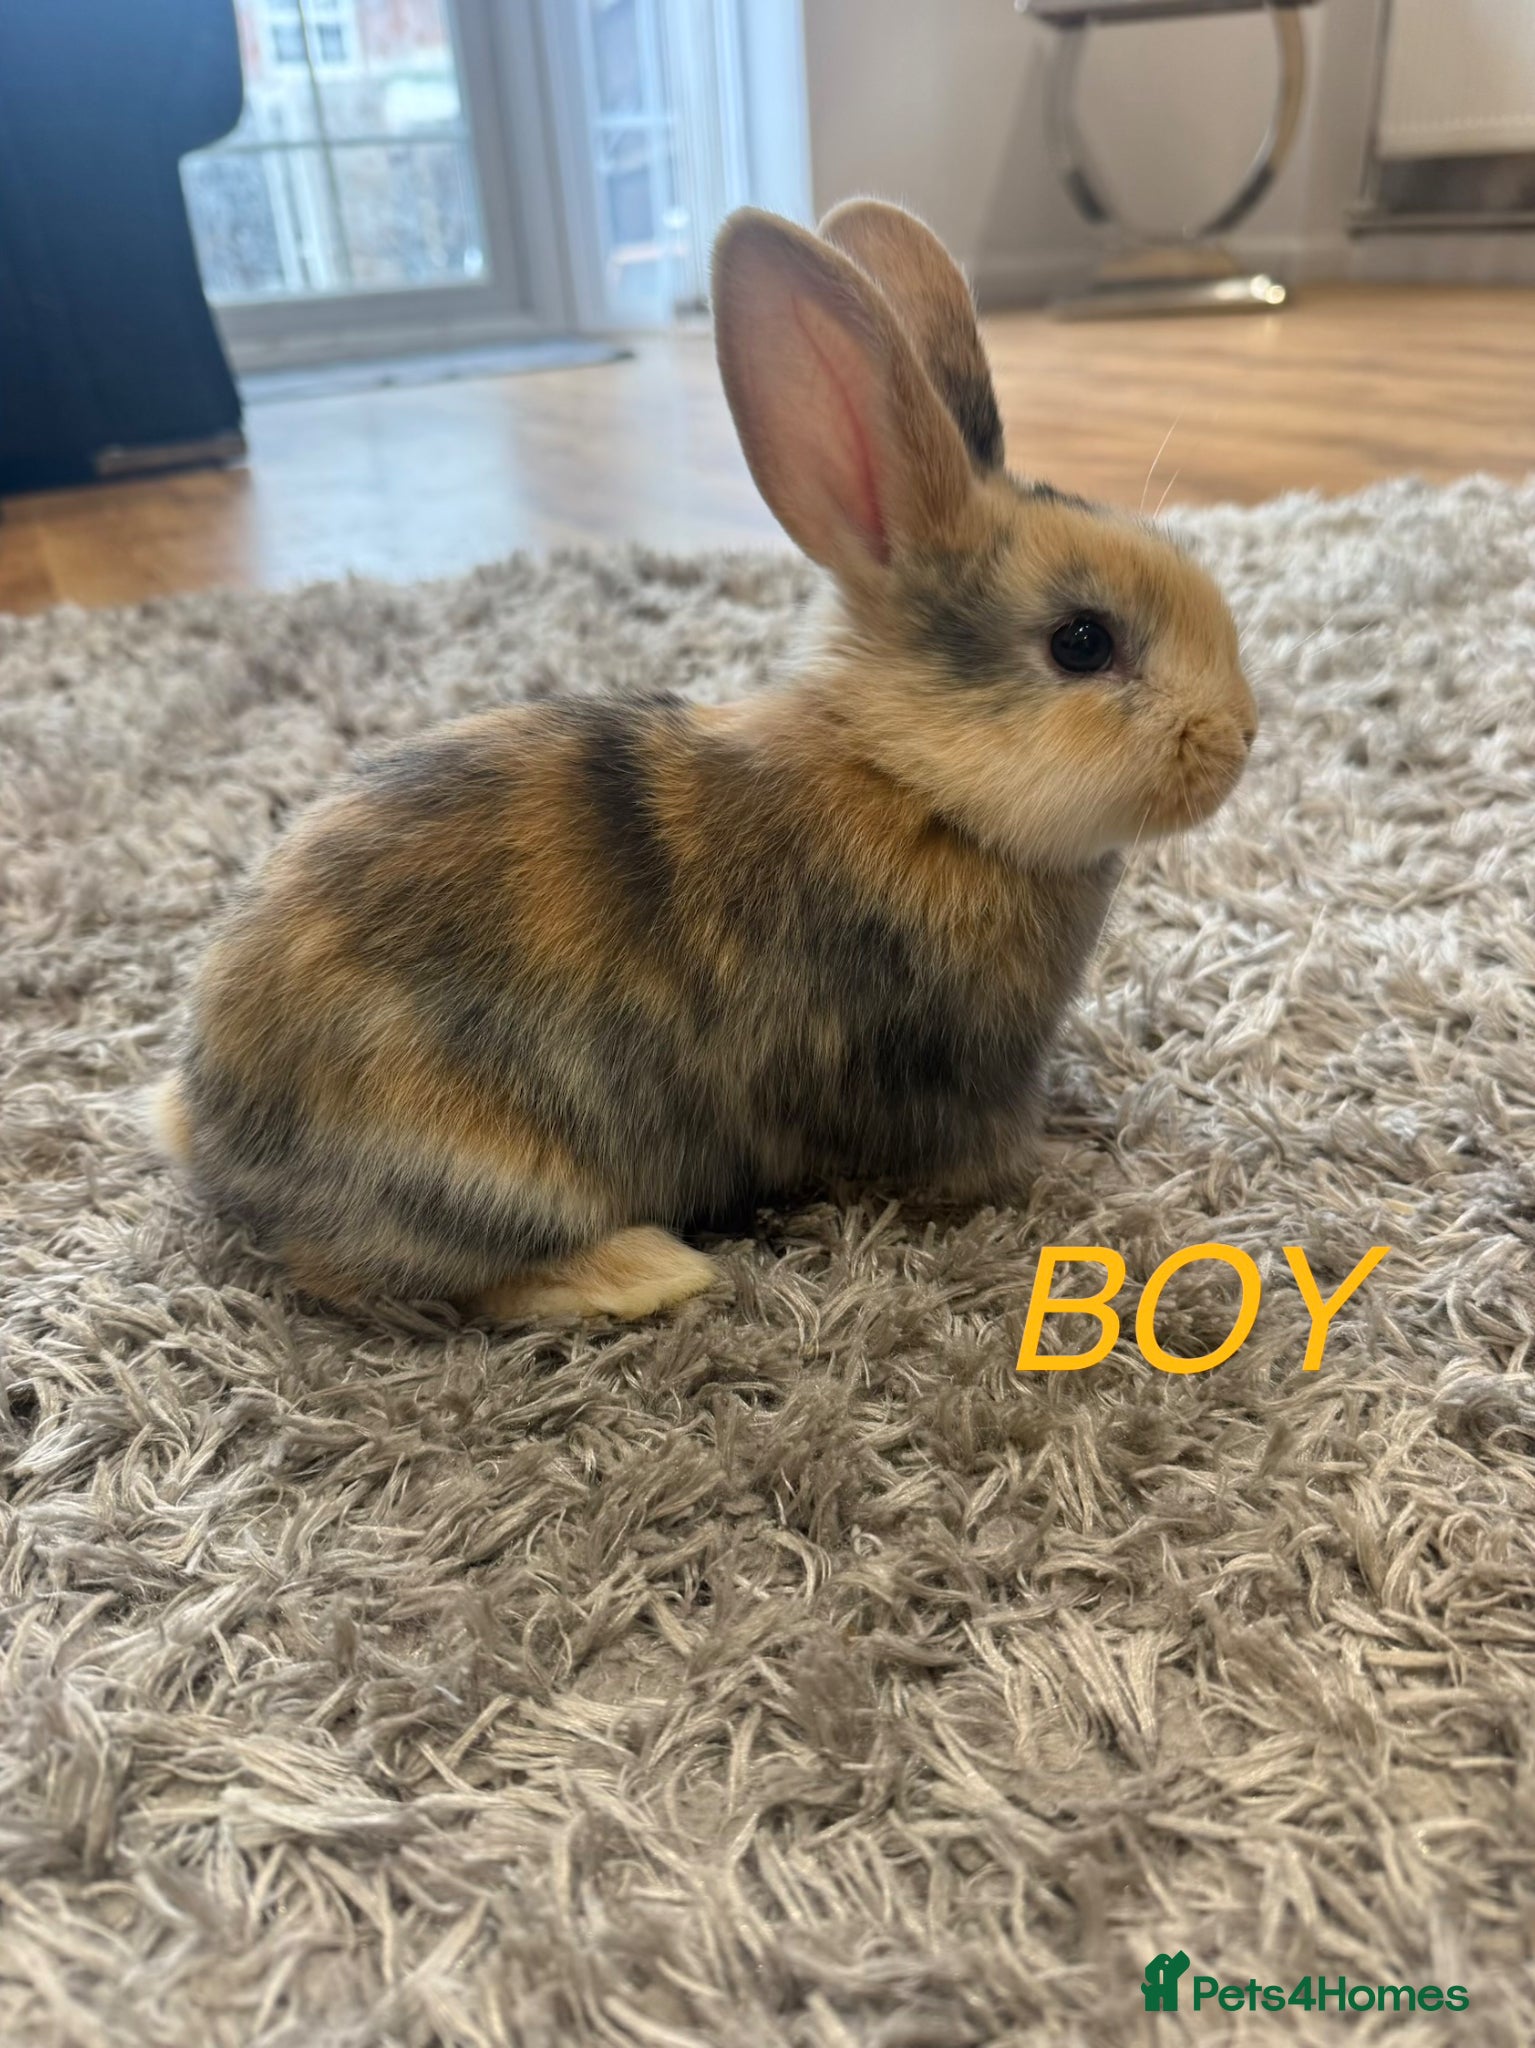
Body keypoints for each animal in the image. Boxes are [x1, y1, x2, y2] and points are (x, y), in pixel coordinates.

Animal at [150, 198, 1257, 1323]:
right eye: (1080, 642)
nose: (1240, 736)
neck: (914, 785)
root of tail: (221, 1143)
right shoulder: (938, 1079)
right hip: (473, 1166)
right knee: (402, 1279)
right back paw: (651, 1269)